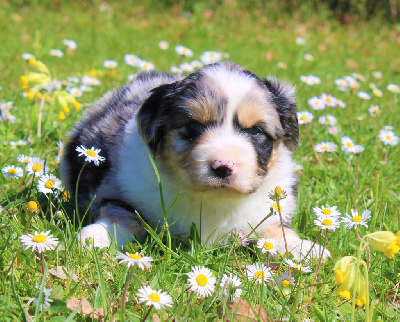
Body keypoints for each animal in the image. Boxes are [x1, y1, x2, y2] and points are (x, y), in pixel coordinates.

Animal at [61, 62, 324, 260]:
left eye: (255, 131)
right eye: (194, 126)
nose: (223, 167)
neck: (213, 201)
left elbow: (276, 228)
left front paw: (304, 249)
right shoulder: (116, 194)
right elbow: (126, 217)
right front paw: (96, 236)